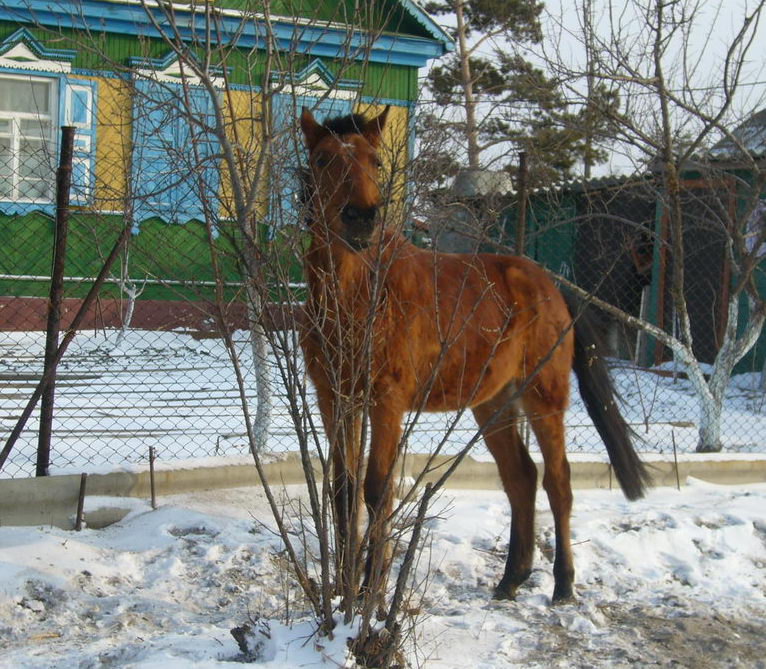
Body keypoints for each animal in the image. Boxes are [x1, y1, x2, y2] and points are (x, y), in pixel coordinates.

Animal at [296, 107, 652, 604]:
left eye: (376, 161)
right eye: (324, 159)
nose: (361, 219)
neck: (359, 297)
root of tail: (552, 287)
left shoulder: (387, 401)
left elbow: (378, 489)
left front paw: (372, 592)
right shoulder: (336, 398)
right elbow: (343, 490)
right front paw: (345, 589)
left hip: (544, 396)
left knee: (557, 481)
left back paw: (563, 584)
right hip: (493, 402)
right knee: (521, 477)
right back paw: (511, 579)